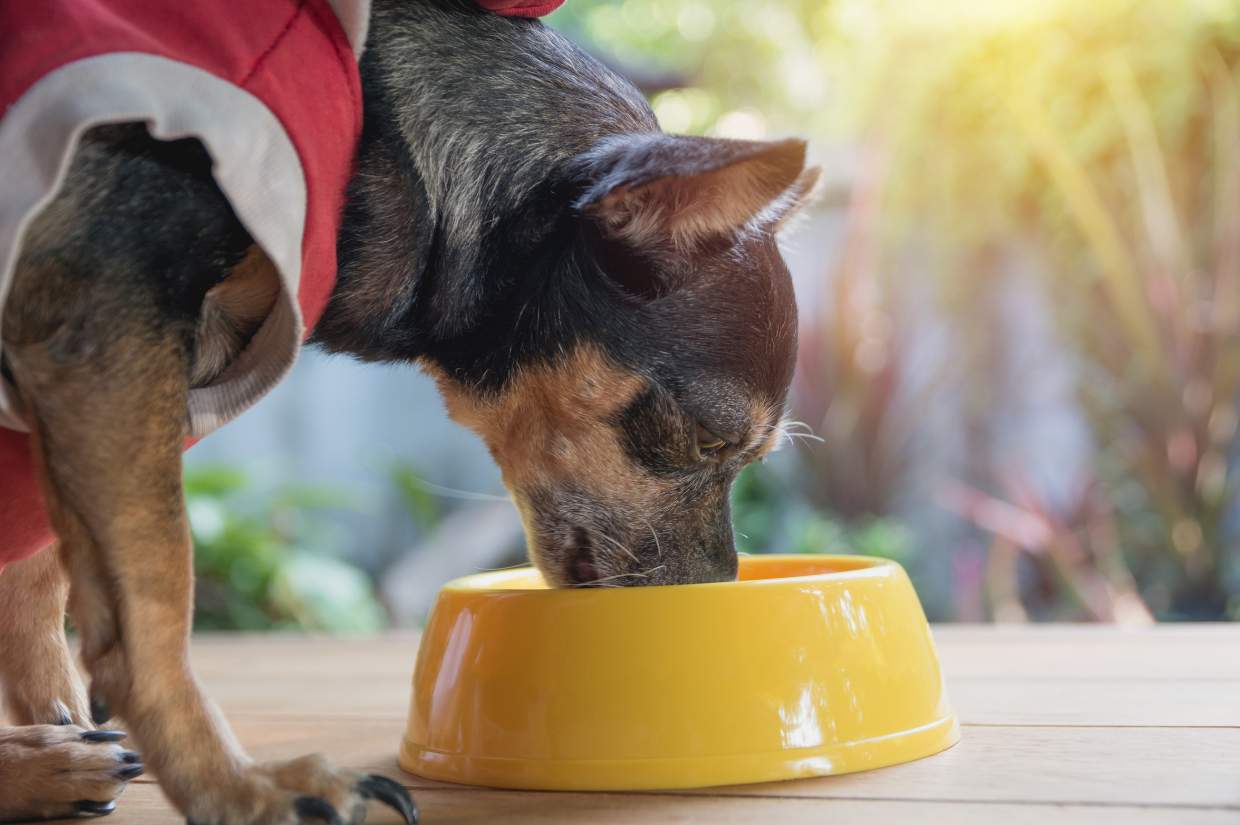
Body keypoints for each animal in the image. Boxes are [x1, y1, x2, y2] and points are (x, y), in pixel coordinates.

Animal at [2, 0, 823, 818]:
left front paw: (60, 720)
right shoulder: (106, 331)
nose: (716, 592)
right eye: (712, 440)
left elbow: (39, 578)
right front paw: (240, 788)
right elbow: (152, 612)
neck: (380, 139)